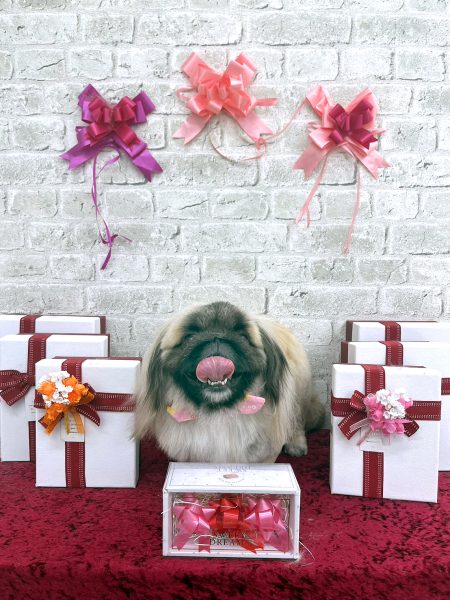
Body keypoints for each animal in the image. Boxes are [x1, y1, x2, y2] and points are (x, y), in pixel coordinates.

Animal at [135, 301, 324, 463]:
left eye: (242, 335)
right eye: (189, 337)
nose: (217, 337)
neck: (220, 410)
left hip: (299, 392)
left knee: (297, 421)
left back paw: (296, 444)